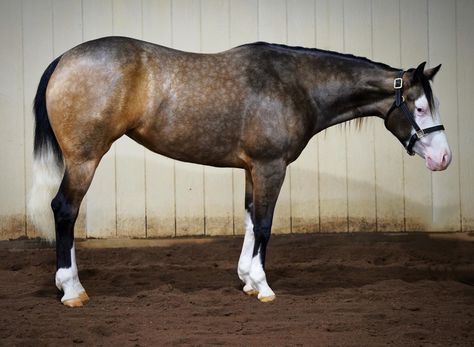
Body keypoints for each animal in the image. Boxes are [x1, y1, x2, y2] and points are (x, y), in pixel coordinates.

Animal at [28, 37, 452, 308]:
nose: (444, 158)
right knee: (64, 210)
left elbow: (250, 221)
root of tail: (64, 58)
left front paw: (247, 279)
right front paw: (263, 286)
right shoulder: (271, 167)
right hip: (84, 159)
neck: (295, 85)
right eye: (419, 108)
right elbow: (264, 224)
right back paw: (72, 290)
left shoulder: (252, 169)